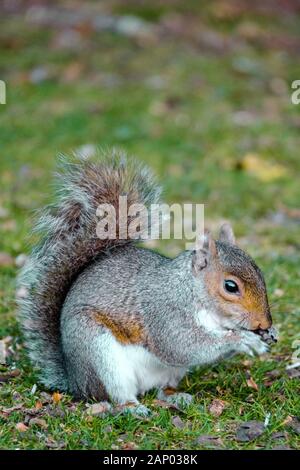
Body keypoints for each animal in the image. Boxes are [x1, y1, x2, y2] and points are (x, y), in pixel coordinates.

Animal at [18, 152, 276, 406]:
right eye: (230, 286)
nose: (265, 323)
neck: (193, 293)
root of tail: (75, 380)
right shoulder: (165, 313)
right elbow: (182, 345)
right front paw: (243, 339)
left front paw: (268, 335)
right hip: (98, 353)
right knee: (113, 395)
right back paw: (130, 407)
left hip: (171, 372)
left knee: (161, 390)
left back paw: (175, 396)